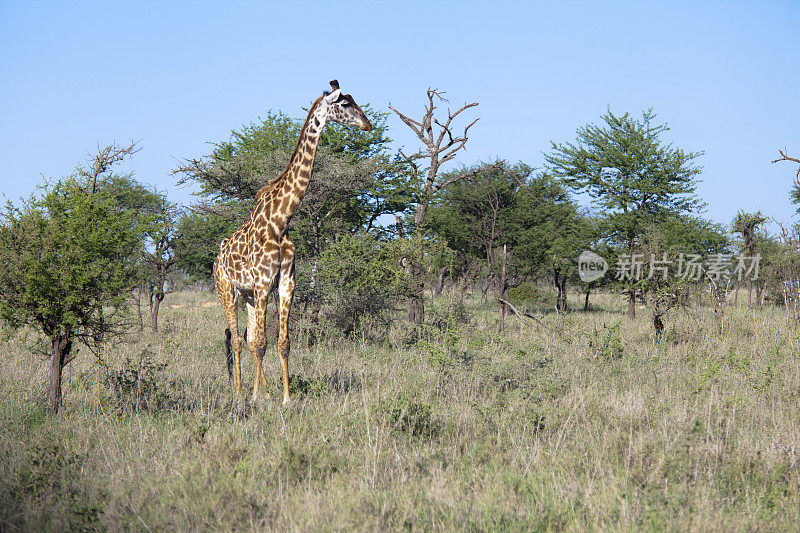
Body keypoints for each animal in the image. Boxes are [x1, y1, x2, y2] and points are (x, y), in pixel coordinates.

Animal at [214, 79, 374, 404]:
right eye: (346, 104)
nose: (368, 124)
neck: (281, 220)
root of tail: (217, 256)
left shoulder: (286, 281)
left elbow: (282, 342)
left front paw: (285, 398)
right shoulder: (264, 281)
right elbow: (261, 342)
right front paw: (257, 398)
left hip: (248, 295)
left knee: (247, 337)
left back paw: (258, 389)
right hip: (228, 291)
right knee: (236, 340)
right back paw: (239, 393)